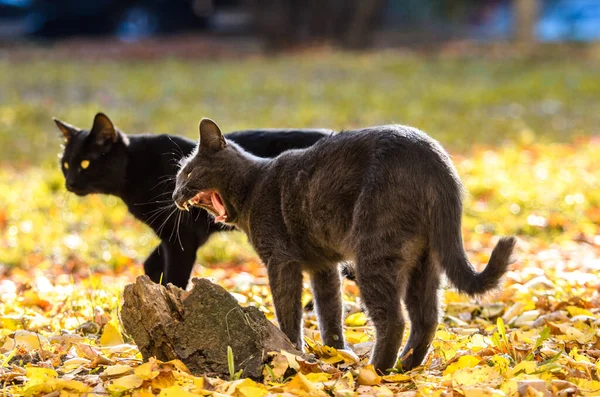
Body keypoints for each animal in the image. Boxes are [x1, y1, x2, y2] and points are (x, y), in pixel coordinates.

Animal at [53, 113, 330, 286]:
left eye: (85, 163)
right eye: (65, 165)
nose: (69, 183)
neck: (135, 167)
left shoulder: (182, 237)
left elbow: (175, 276)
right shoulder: (173, 235)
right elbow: (151, 264)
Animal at [172, 118, 516, 372]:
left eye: (187, 173)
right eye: (177, 177)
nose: (175, 194)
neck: (253, 186)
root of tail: (436, 159)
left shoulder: (281, 260)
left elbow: (288, 310)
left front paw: (290, 351)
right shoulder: (323, 265)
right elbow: (329, 310)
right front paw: (335, 351)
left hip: (375, 251)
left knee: (394, 320)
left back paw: (375, 372)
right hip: (425, 259)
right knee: (427, 318)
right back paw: (405, 368)